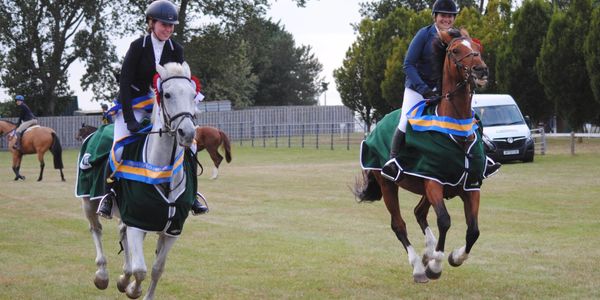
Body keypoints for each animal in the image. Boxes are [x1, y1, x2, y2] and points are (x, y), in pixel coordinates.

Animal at [354, 28, 490, 284]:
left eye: (478, 47)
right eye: (455, 50)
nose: (481, 70)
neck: (456, 128)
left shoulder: (471, 187)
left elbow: (474, 231)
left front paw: (453, 257)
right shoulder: (434, 183)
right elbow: (445, 220)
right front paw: (435, 264)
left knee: (419, 213)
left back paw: (427, 252)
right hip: (388, 184)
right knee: (399, 224)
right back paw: (419, 266)